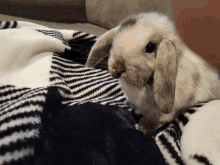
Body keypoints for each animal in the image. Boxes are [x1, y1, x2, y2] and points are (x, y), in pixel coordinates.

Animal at [85, 12, 220, 135]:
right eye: (114, 41)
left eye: (150, 47)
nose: (118, 68)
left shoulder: (164, 110)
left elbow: (156, 118)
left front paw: (142, 128)